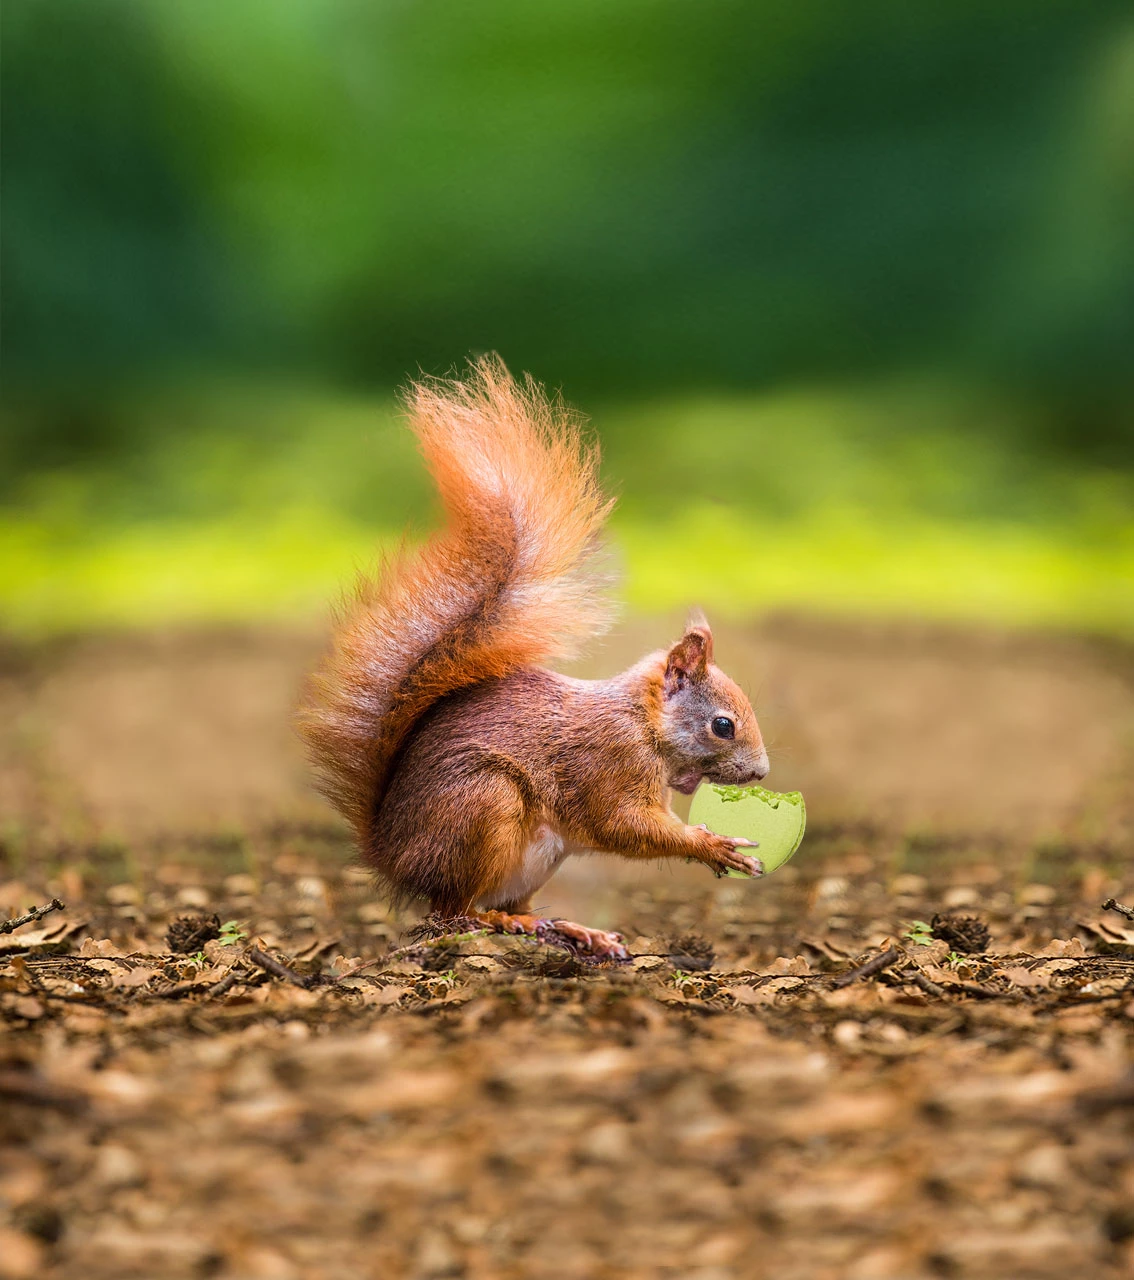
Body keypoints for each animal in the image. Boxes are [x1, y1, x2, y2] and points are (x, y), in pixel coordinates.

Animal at [296, 355, 767, 957]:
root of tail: (394, 857)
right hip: (484, 808)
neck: (641, 723)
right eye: (722, 726)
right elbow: (623, 825)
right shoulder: (607, 762)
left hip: (537, 857)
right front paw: (710, 845)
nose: (761, 772)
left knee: (501, 904)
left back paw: (573, 929)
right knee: (454, 913)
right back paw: (502, 922)